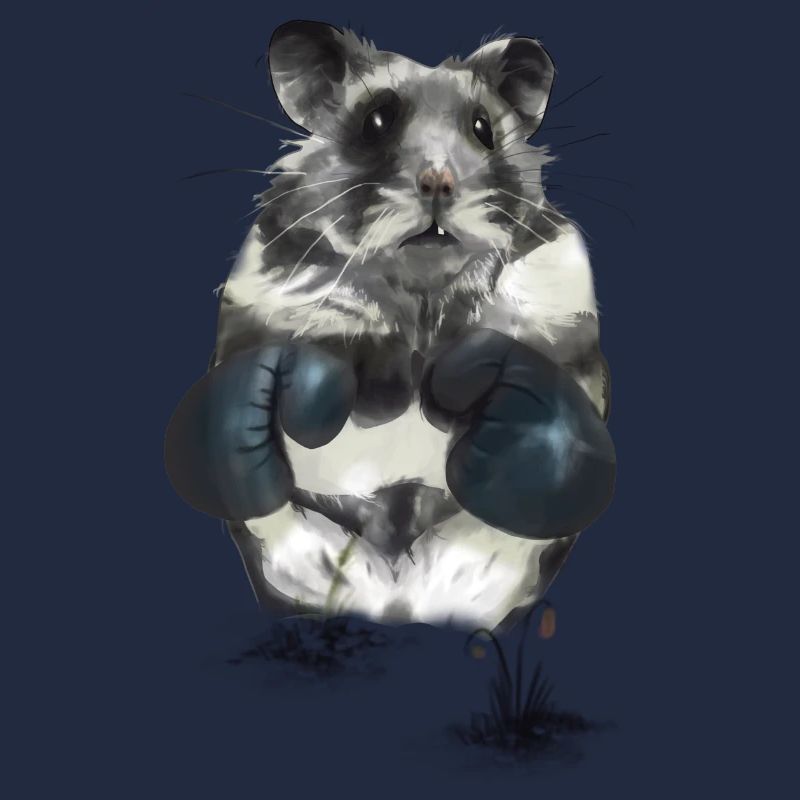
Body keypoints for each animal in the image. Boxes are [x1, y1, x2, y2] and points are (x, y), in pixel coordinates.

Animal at [168, 20, 614, 632]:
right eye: (376, 120)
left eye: (484, 128)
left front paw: (449, 391)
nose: (439, 183)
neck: (419, 309)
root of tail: (397, 606)